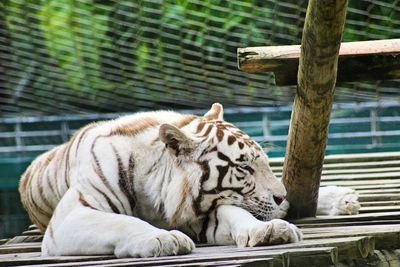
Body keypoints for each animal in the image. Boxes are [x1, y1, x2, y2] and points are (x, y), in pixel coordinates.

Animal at [18, 103, 300, 258]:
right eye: (244, 167)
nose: (282, 196)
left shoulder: (199, 215)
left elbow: (235, 213)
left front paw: (268, 230)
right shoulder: (72, 214)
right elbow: (122, 222)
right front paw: (164, 240)